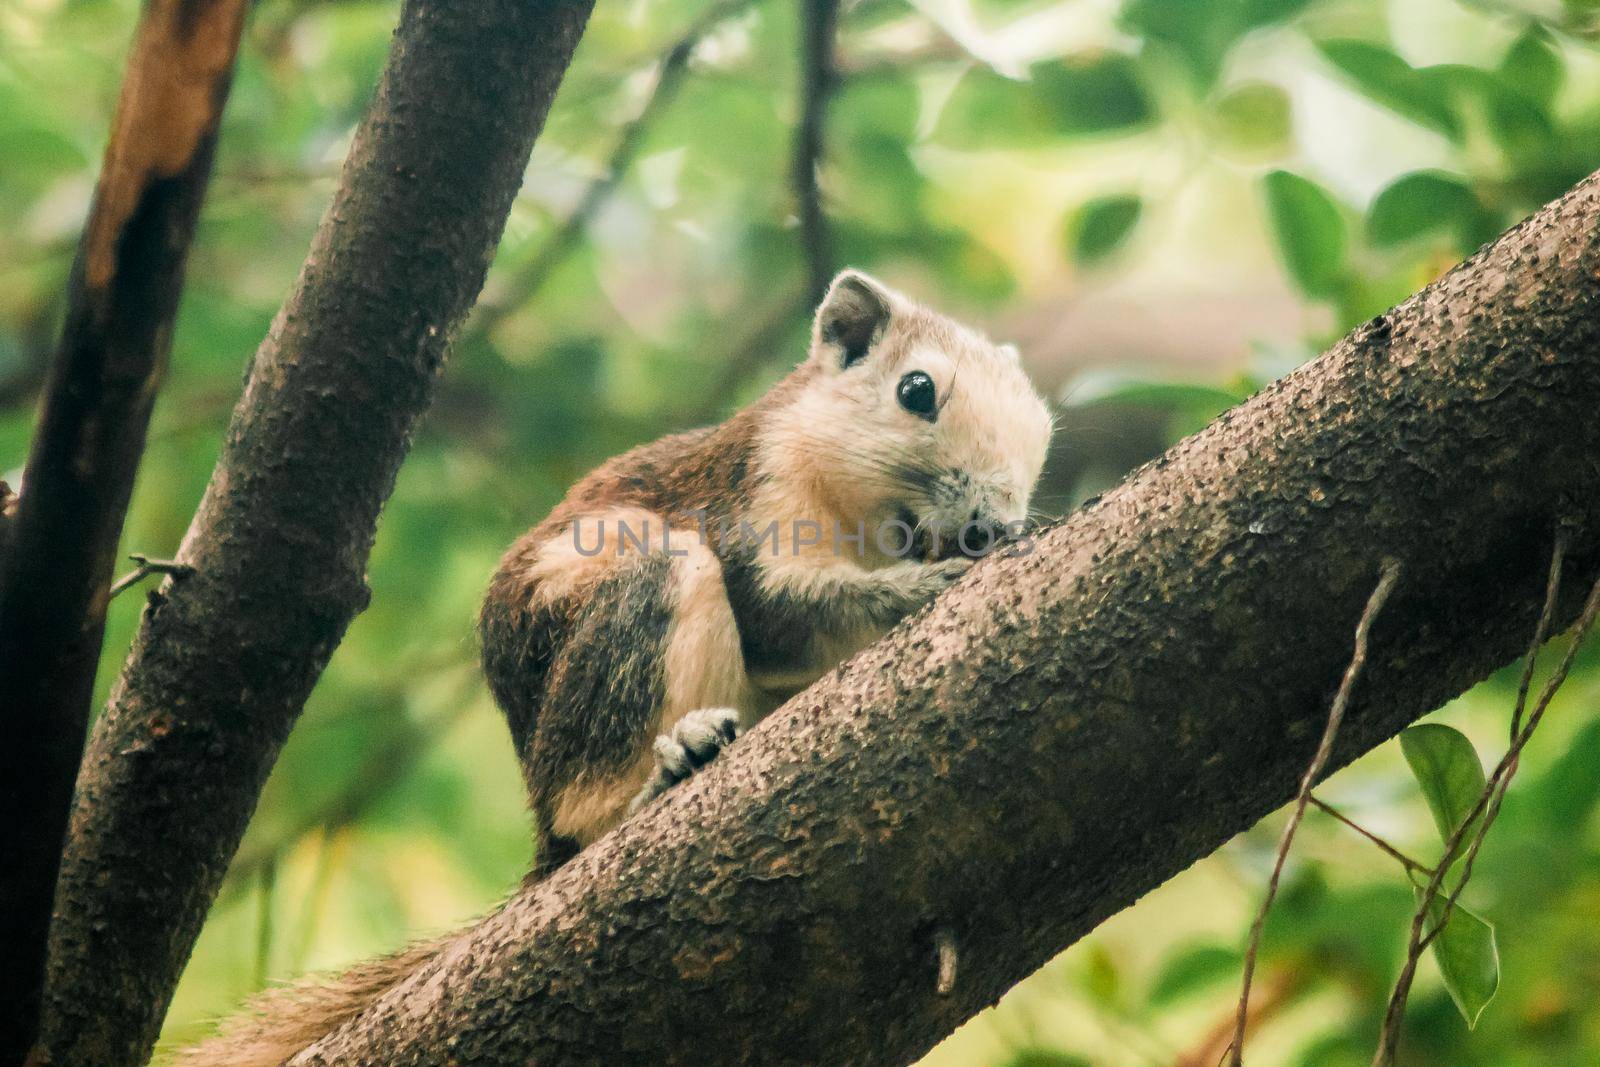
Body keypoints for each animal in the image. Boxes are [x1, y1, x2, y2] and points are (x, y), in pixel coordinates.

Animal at [178, 273, 1049, 1067]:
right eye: (916, 389)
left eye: (1043, 428)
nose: (988, 522)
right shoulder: (751, 497)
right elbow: (780, 610)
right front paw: (933, 582)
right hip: (634, 600)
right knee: (586, 799)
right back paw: (659, 777)